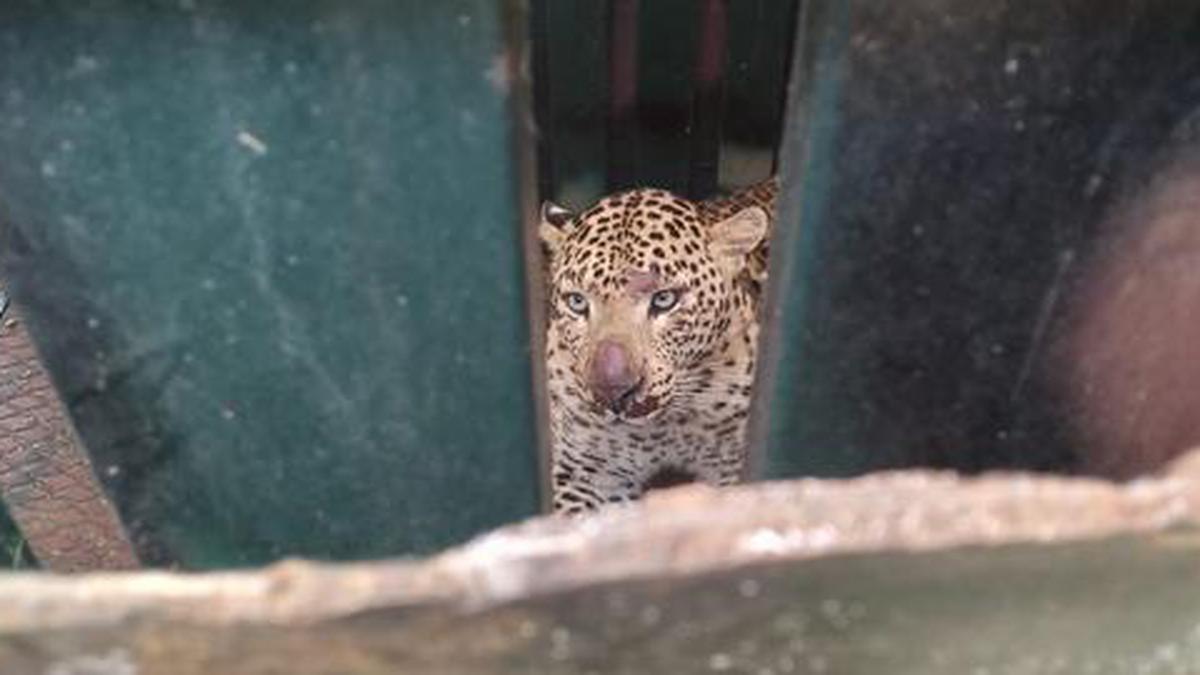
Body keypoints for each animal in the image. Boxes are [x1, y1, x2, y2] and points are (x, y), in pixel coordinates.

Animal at [542, 176, 777, 511]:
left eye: (664, 299)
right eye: (577, 302)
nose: (613, 392)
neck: (662, 429)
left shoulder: (732, 465)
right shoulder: (586, 473)